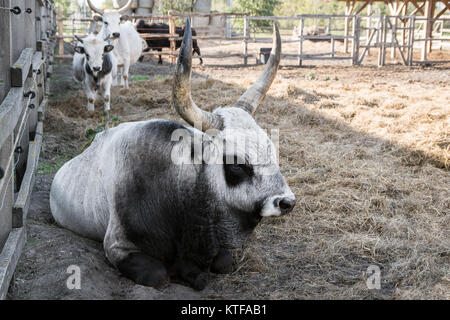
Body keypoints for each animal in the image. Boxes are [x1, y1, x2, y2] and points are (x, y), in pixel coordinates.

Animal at [49, 20, 296, 290]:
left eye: (271, 148)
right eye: (236, 162)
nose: (287, 202)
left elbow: (223, 263)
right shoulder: (117, 247)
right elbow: (159, 275)